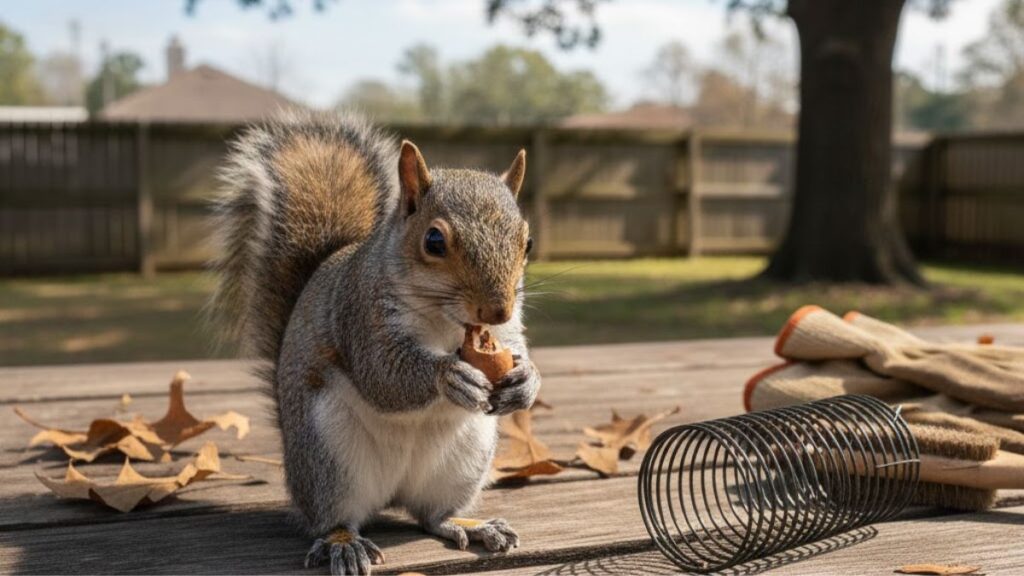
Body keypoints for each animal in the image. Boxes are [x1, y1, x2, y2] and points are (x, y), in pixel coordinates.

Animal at [209, 110, 541, 576]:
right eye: (434, 241)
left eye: (527, 242)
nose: (496, 310)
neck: (445, 322)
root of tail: (390, 493)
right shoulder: (361, 315)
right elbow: (383, 374)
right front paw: (449, 376)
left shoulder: (506, 333)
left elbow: (516, 346)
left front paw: (526, 381)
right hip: (328, 457)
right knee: (333, 517)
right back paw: (344, 543)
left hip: (463, 460)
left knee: (432, 515)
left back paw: (471, 524)